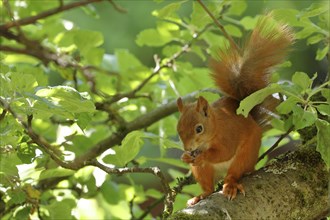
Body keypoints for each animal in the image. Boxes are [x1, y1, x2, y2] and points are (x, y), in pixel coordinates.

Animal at [177, 15, 292, 206]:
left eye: (199, 128)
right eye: (178, 130)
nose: (188, 148)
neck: (215, 128)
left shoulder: (228, 134)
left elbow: (224, 152)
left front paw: (202, 156)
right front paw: (185, 157)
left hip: (244, 156)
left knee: (233, 174)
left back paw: (230, 185)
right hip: (202, 172)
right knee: (208, 186)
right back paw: (201, 196)